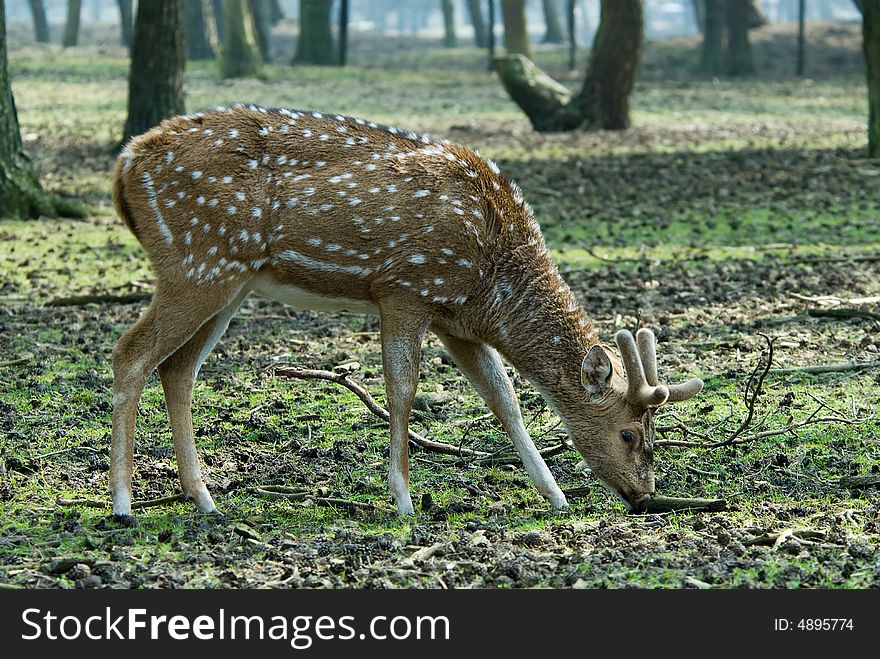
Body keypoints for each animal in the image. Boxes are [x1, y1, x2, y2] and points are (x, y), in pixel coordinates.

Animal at [110, 103, 704, 520]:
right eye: (629, 434)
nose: (643, 496)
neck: (493, 283)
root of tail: (125, 163)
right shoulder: (406, 289)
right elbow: (402, 392)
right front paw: (403, 500)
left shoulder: (457, 322)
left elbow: (505, 402)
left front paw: (555, 495)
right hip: (195, 262)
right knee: (130, 352)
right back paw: (123, 504)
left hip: (228, 283)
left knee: (178, 368)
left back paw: (204, 499)